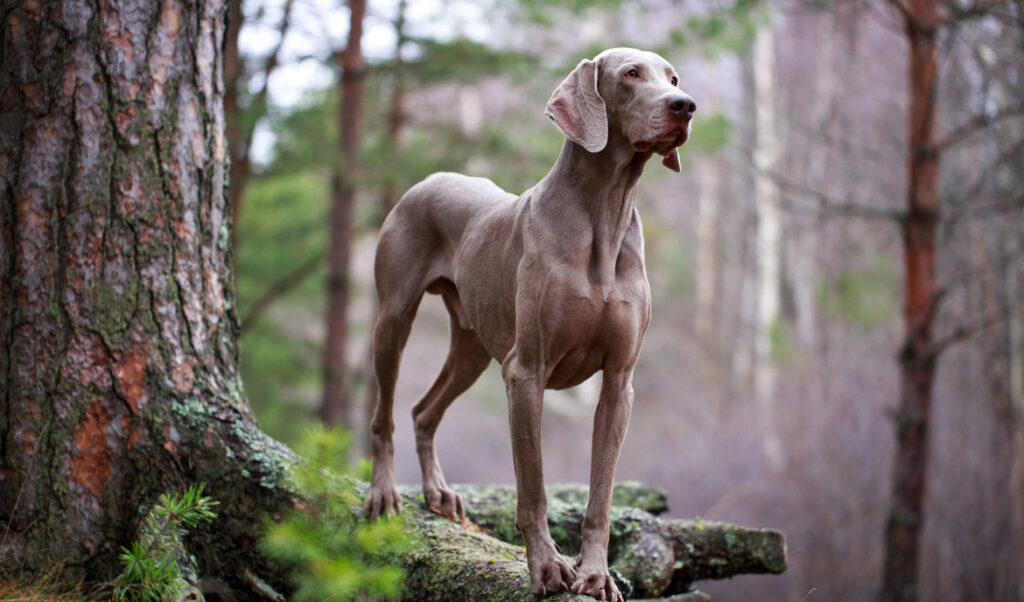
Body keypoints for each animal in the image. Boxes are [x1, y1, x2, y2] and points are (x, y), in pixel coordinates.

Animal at [362, 48, 696, 602]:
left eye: (672, 77)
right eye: (631, 74)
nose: (685, 105)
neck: (604, 214)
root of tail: (429, 179)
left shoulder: (618, 383)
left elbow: (600, 496)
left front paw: (595, 574)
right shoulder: (526, 372)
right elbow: (533, 489)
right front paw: (546, 568)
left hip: (473, 347)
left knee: (422, 411)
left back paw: (437, 492)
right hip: (393, 320)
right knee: (384, 414)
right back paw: (384, 492)